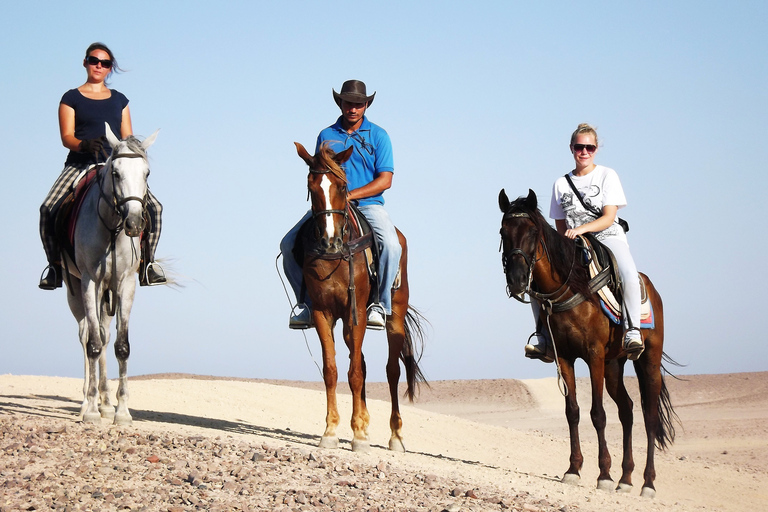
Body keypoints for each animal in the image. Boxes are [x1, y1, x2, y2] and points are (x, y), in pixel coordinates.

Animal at [294, 140, 428, 452]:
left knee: (392, 370)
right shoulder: (323, 313)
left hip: (394, 317)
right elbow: (332, 370)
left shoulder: (356, 315)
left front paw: (358, 437)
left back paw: (395, 436)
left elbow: (354, 372)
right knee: (364, 363)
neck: (334, 257)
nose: (330, 241)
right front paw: (332, 431)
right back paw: (365, 424)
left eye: (343, 187)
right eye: (311, 185)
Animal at [498, 190, 680, 498]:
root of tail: (651, 289)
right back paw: (626, 479)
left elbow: (598, 414)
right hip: (614, 365)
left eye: (533, 232)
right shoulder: (565, 357)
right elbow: (572, 412)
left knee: (650, 416)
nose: (518, 280)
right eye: (503, 232)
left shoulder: (593, 355)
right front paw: (573, 469)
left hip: (648, 361)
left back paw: (647, 483)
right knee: (627, 410)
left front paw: (603, 474)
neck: (571, 287)